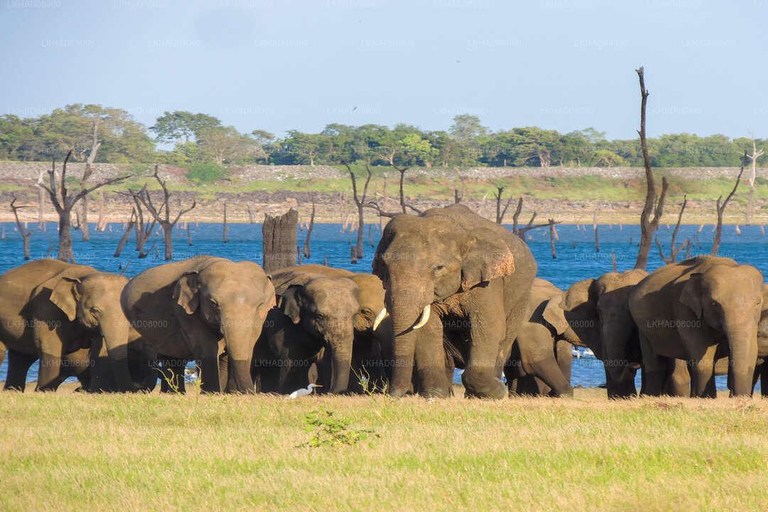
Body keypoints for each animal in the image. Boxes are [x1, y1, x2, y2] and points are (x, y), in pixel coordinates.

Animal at [0, 260, 151, 392]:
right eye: (94, 310)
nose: (130, 390)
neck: (81, 277)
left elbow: (99, 351)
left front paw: (96, 392)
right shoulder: (46, 309)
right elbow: (49, 346)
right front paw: (44, 392)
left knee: (20, 359)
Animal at [121, 254, 274, 394]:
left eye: (259, 304)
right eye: (213, 303)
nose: (250, 393)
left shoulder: (261, 317)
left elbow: (248, 345)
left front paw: (231, 394)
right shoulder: (185, 311)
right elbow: (207, 347)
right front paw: (212, 393)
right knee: (171, 359)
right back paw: (175, 393)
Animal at [254, 266, 388, 394]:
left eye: (354, 314)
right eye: (319, 316)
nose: (331, 391)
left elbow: (326, 361)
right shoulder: (282, 323)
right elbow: (290, 360)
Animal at [370, 202, 536, 398]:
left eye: (439, 268)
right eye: (384, 265)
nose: (394, 394)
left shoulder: (486, 282)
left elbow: (488, 325)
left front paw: (498, 392)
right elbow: (428, 328)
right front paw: (434, 395)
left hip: (522, 296)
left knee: (504, 342)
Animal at [632, 255, 768, 396]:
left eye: (758, 302)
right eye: (715, 304)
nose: (739, 396)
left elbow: (750, 353)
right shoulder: (685, 311)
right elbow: (703, 359)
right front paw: (707, 397)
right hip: (643, 329)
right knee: (655, 364)